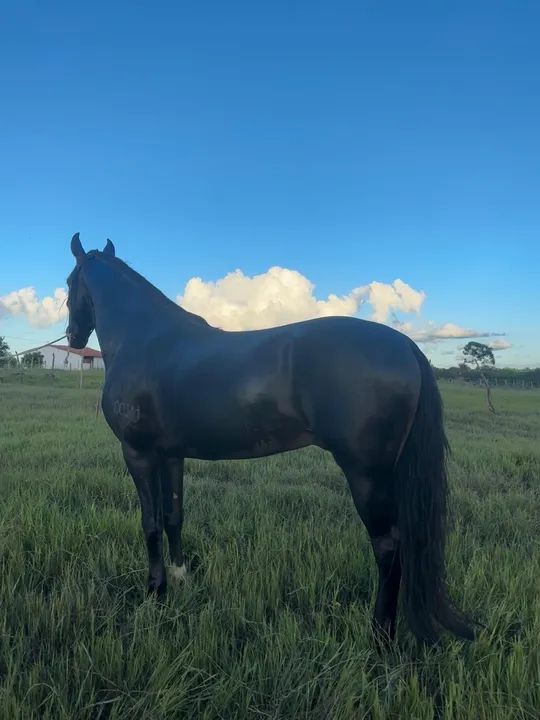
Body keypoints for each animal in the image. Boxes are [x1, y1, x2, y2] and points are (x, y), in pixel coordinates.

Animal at [66, 233, 474, 644]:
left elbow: (149, 524)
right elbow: (173, 517)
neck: (146, 338)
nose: (73, 337)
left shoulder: (138, 453)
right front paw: (180, 579)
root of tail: (406, 346)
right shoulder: (170, 455)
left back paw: (380, 635)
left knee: (389, 546)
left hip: (367, 476)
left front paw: (155, 592)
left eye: (70, 283)